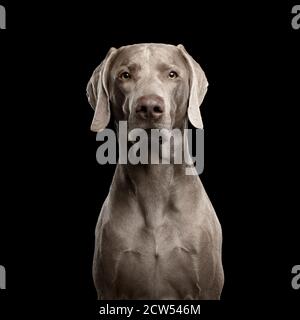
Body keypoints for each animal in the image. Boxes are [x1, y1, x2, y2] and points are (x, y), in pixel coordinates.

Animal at [85, 43, 224, 300]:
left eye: (172, 74)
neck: (154, 182)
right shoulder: (109, 289)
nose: (149, 107)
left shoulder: (207, 288)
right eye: (125, 75)